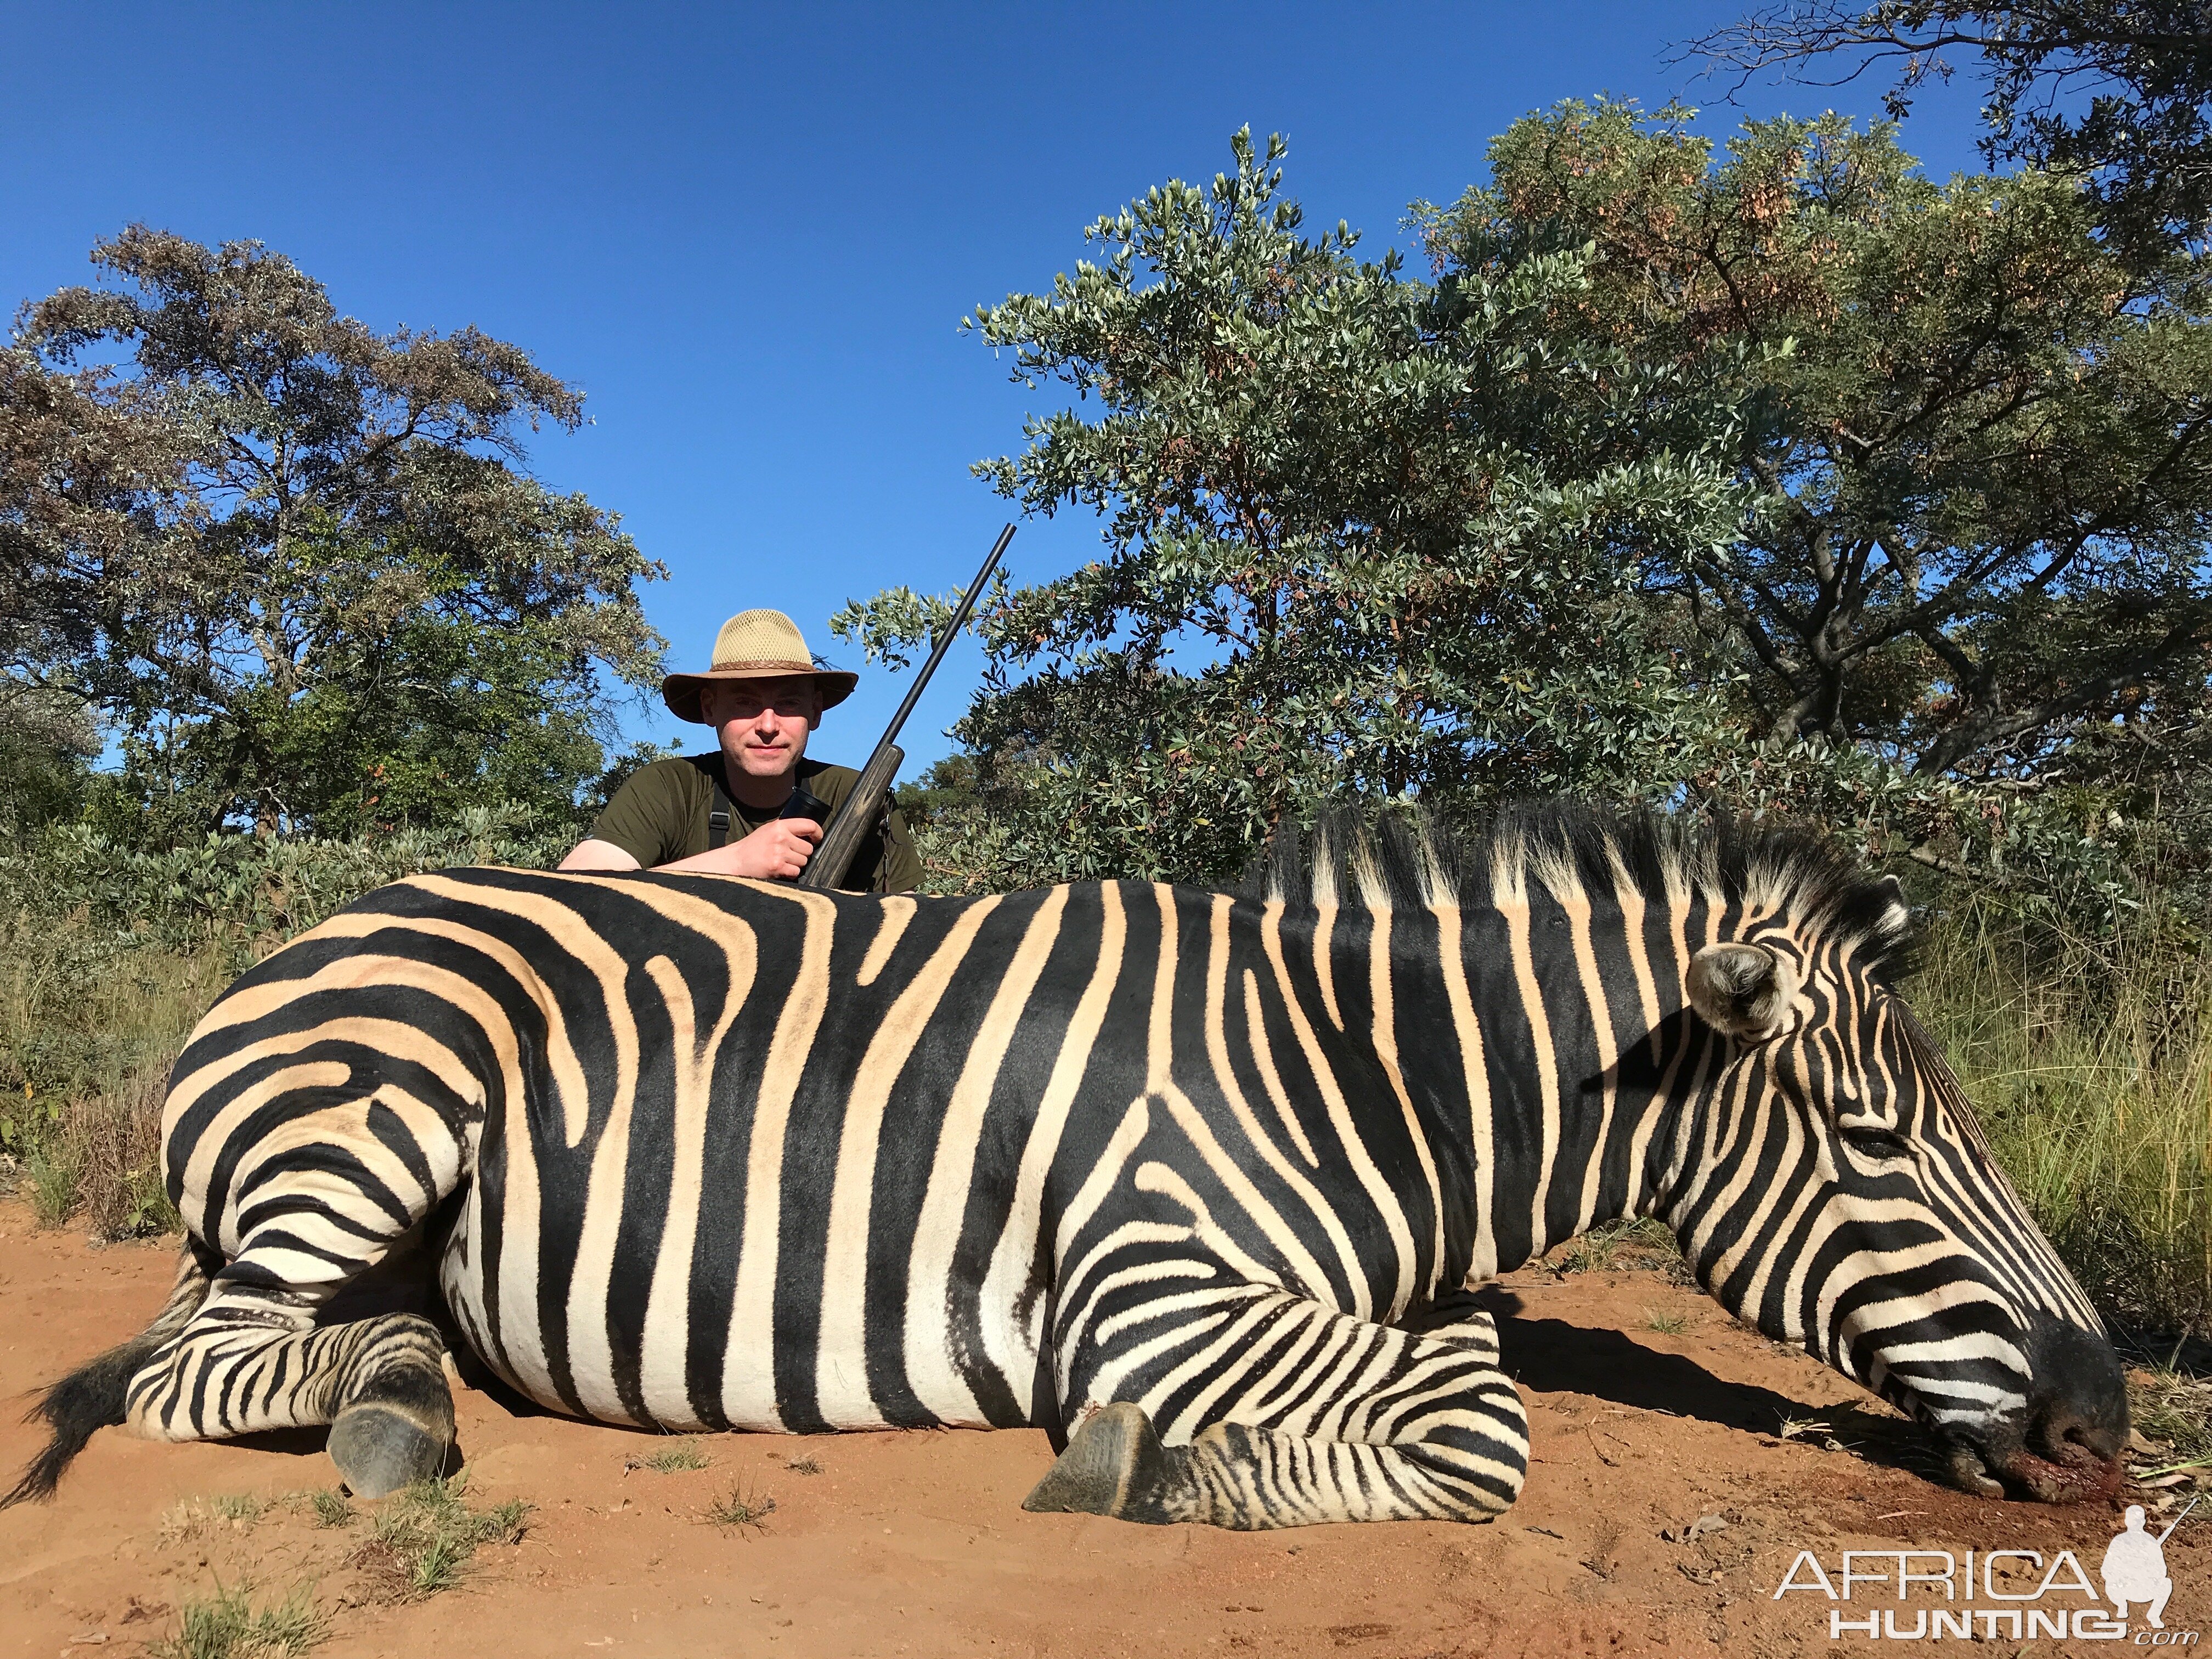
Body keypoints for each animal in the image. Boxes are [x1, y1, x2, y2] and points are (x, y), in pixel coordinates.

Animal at [8, 805, 2132, 1531]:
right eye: (1880, 1143)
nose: (2108, 1426)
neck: (1357, 1079)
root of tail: (313, 928)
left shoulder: (1409, 1295)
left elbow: (1469, 1392)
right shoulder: (1147, 1288)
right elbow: (1485, 1436)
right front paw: (1145, 1471)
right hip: (370, 1130)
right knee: (184, 1374)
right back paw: (393, 1408)